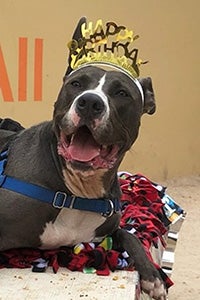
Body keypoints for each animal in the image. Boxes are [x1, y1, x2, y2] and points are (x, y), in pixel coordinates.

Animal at [0, 19, 167, 300]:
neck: (77, 192)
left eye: (122, 93)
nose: (89, 102)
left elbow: (129, 235)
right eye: (76, 84)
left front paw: (152, 276)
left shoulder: (107, 229)